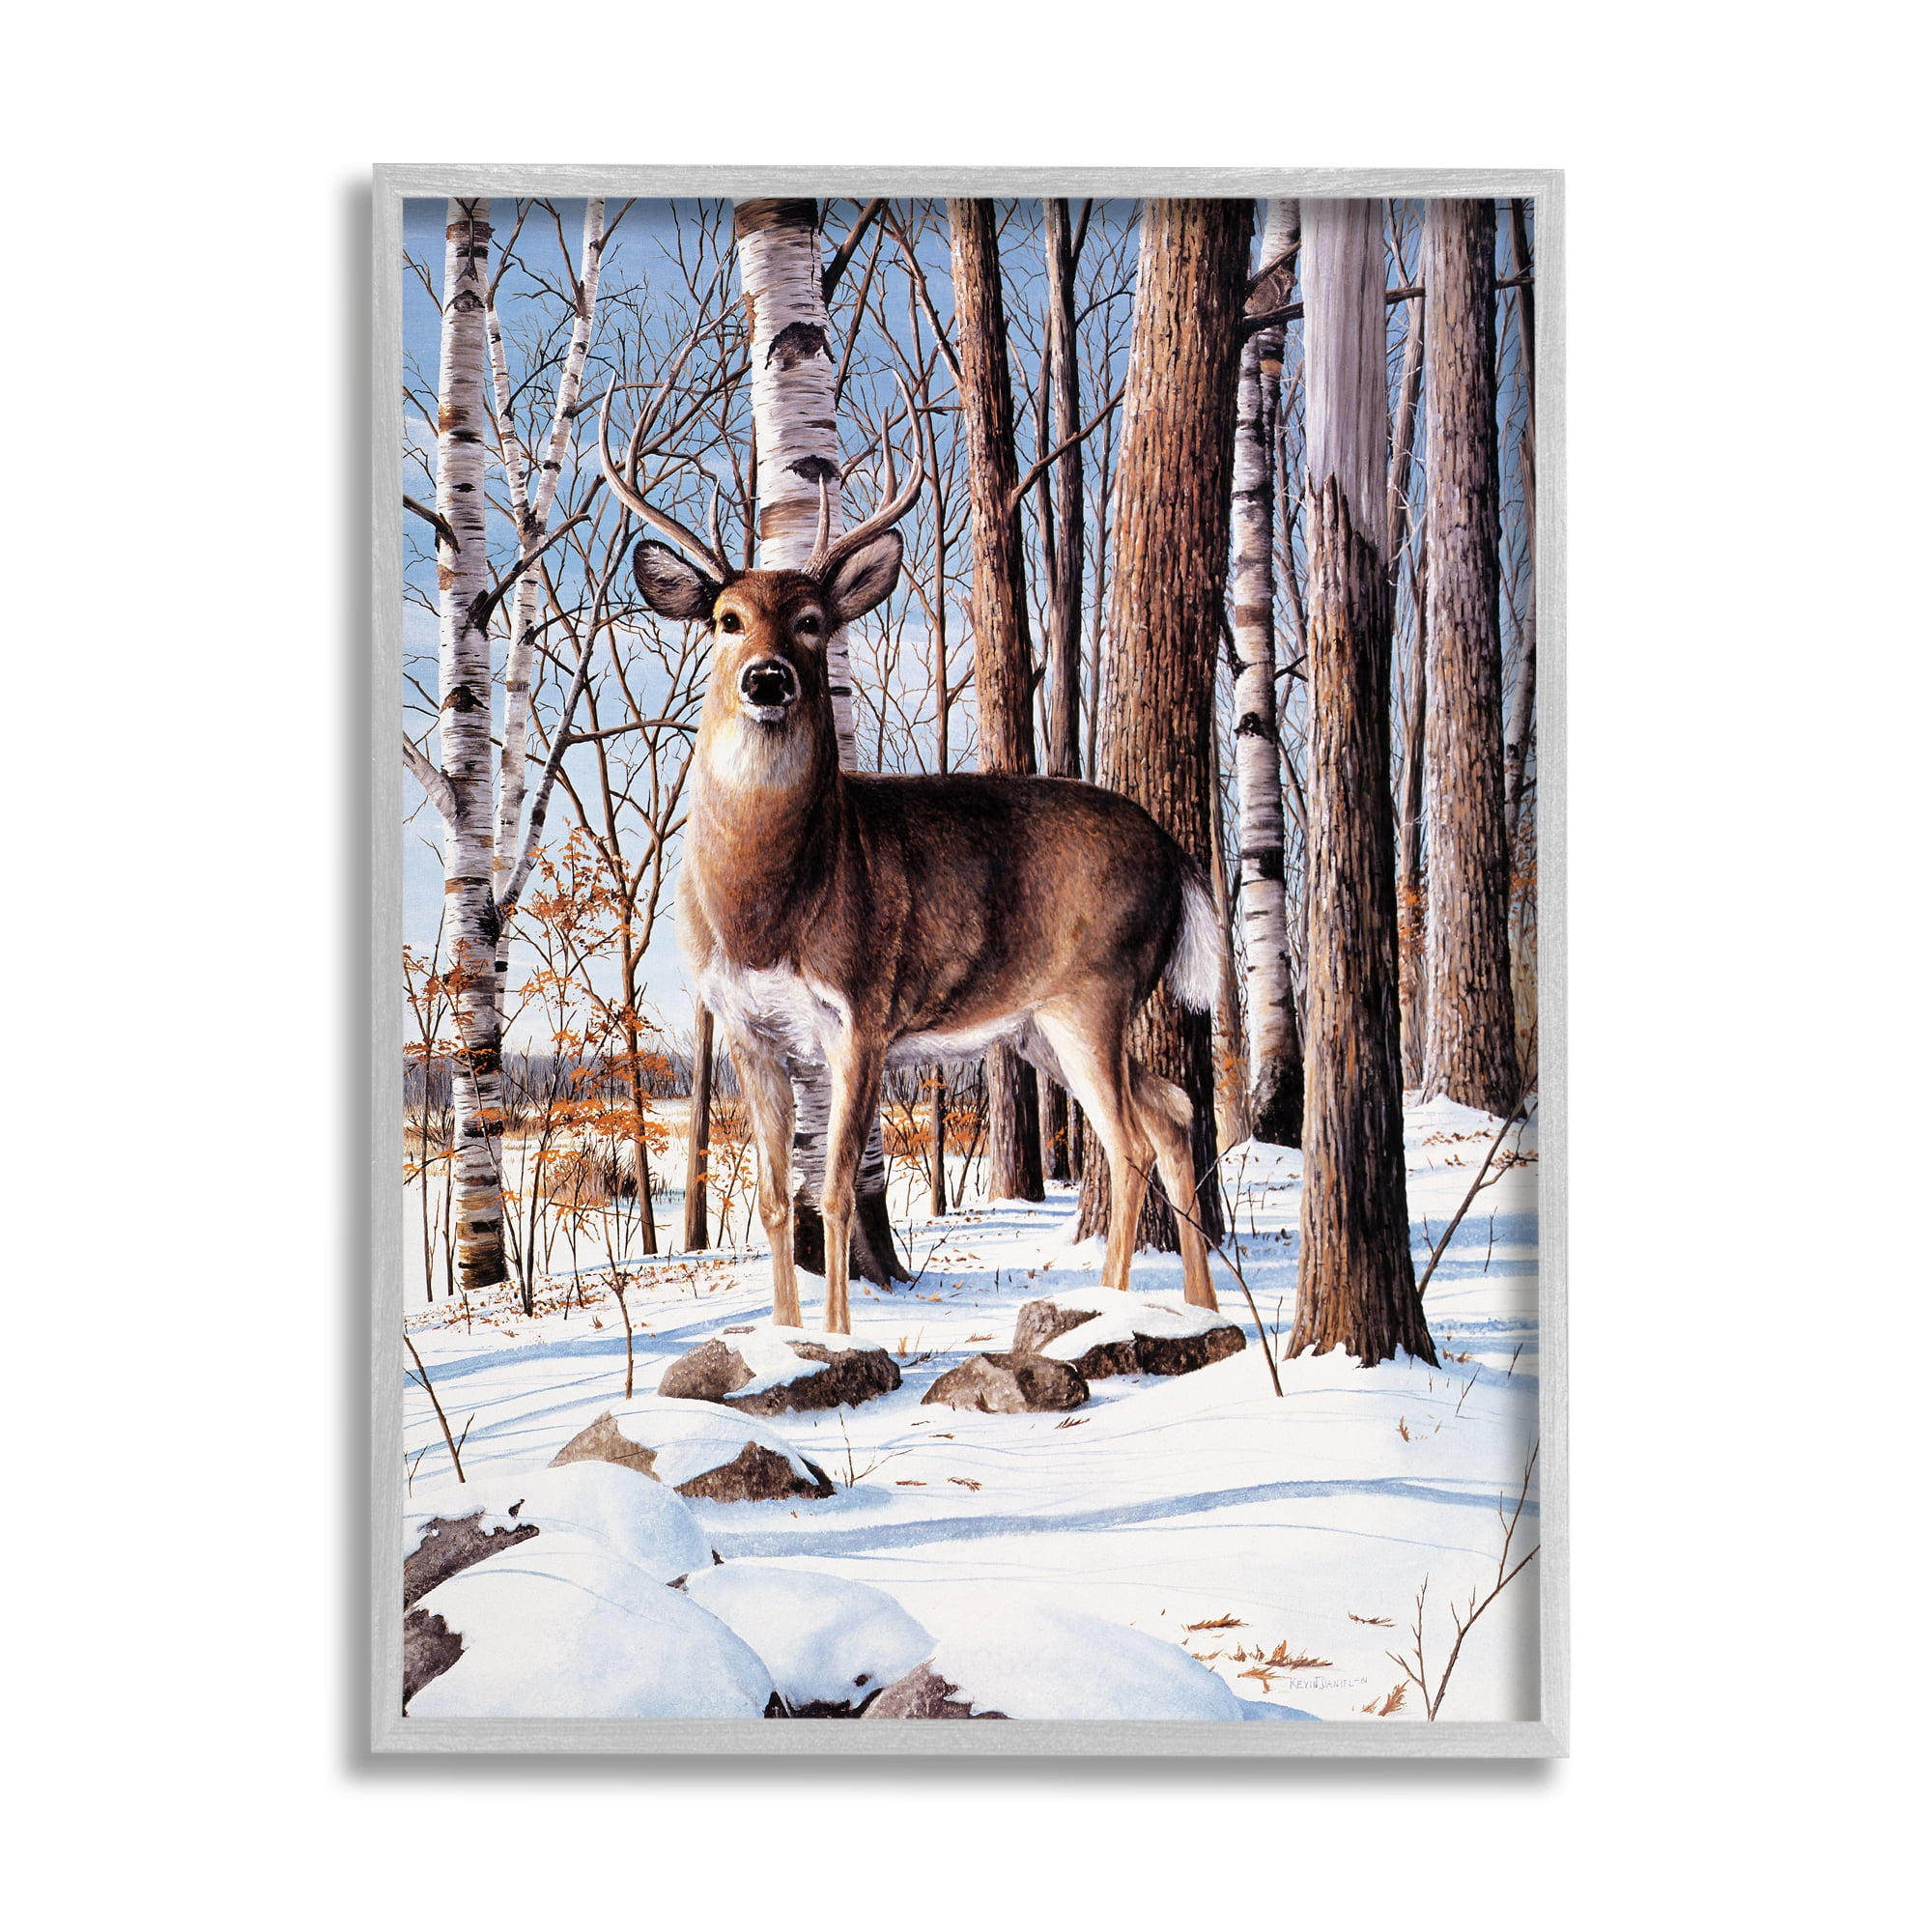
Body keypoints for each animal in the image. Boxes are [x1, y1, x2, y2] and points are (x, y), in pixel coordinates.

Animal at [600, 392, 1223, 1335]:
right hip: (1037, 1024)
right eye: (726, 620)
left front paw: (833, 1337)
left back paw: (1116, 1308)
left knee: (1127, 1144)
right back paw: (1198, 1310)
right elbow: (778, 1200)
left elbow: (834, 1193)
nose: (768, 679)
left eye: (812, 621)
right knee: (1176, 1110)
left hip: (1095, 991)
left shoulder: (862, 1011)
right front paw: (785, 1337)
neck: (767, 907)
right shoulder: (745, 1027)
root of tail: (1176, 854)